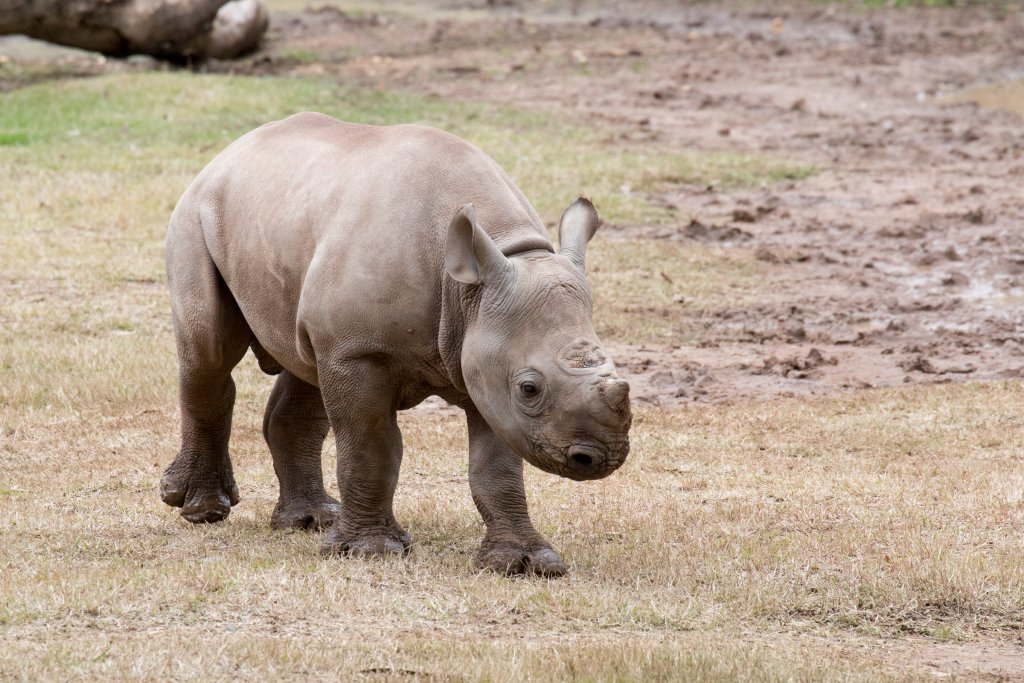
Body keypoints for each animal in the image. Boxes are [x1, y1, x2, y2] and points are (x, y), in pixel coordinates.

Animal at [160, 112, 632, 576]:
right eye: (529, 388)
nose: (601, 458)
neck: (470, 291)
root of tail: (230, 150)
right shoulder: (359, 351)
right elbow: (372, 447)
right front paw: (372, 551)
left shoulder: (484, 359)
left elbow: (496, 468)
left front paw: (525, 563)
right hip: (197, 213)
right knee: (209, 355)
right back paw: (202, 510)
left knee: (304, 365)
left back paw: (311, 521)